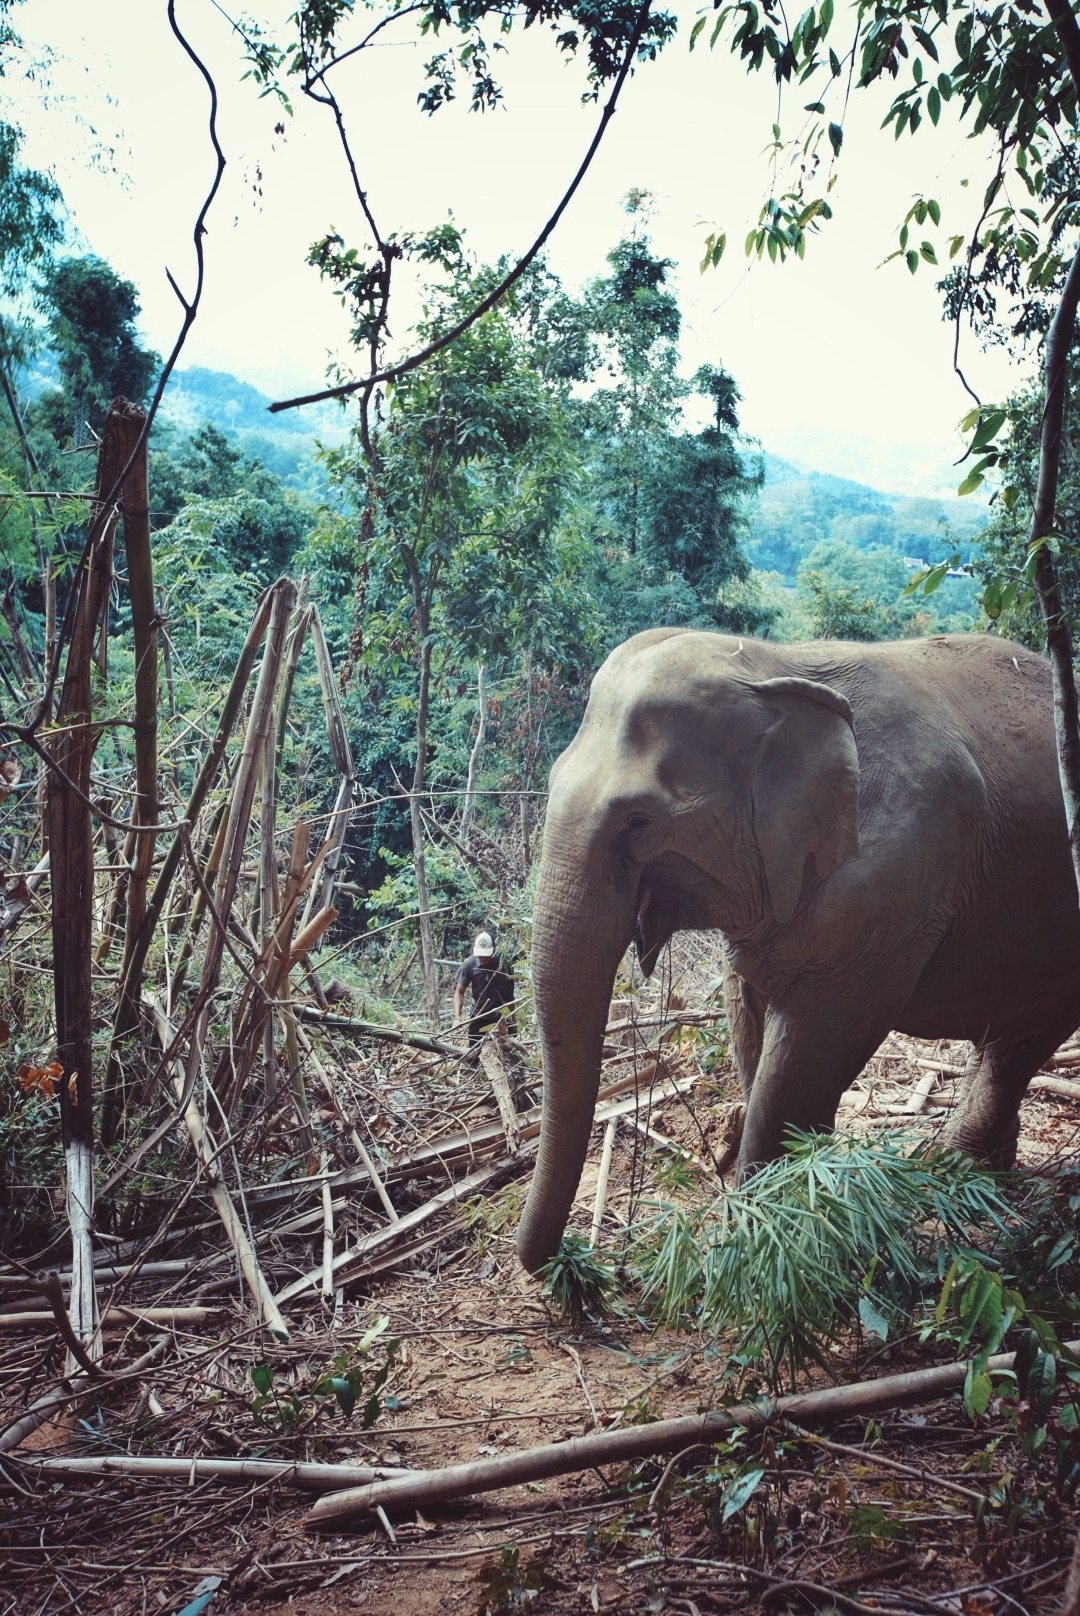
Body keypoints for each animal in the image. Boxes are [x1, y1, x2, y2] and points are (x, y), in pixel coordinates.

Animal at [514, 630, 1080, 1273]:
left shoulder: (896, 876)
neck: (775, 663)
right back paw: (969, 1171)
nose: (581, 1264)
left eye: (637, 821)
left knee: (1022, 1042)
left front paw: (769, 1232)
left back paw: (960, 1172)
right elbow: (748, 1019)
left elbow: (811, 1046)